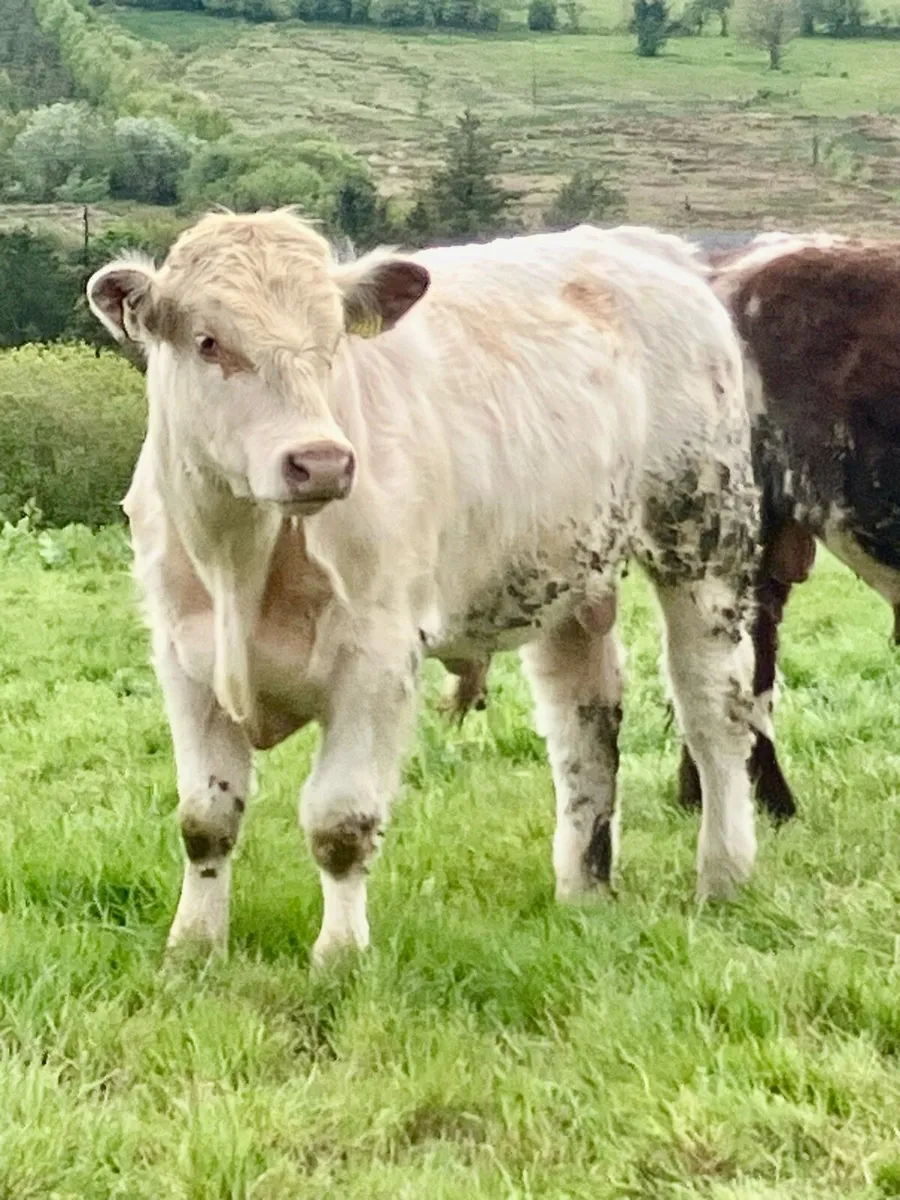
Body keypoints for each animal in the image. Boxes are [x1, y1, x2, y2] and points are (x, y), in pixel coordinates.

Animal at [86, 210, 761, 963]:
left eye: (333, 342)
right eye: (209, 342)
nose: (321, 461)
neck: (244, 559)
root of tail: (641, 244)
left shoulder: (377, 661)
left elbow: (340, 823)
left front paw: (340, 957)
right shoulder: (185, 659)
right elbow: (206, 818)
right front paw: (194, 947)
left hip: (705, 540)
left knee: (713, 710)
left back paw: (724, 875)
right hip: (568, 574)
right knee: (584, 720)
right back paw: (583, 889)